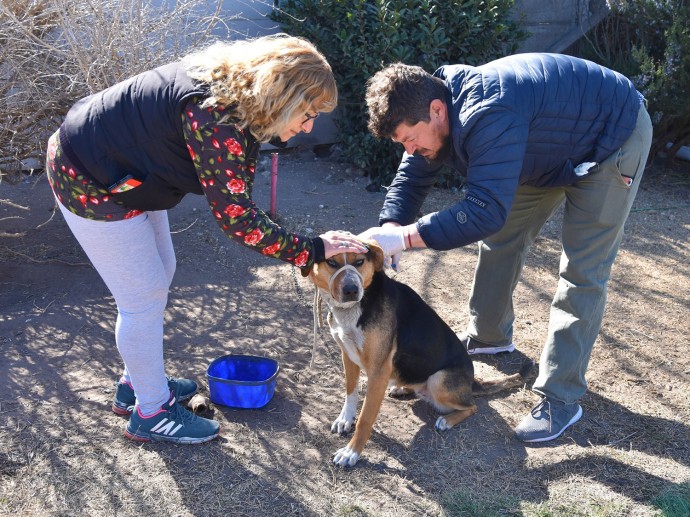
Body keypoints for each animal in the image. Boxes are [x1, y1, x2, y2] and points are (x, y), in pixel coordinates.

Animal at [300, 240, 532, 466]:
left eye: (359, 261)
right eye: (331, 262)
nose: (351, 290)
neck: (356, 308)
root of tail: (471, 382)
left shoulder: (378, 371)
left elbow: (365, 419)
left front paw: (351, 452)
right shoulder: (348, 356)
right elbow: (350, 394)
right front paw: (345, 419)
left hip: (439, 380)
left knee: (472, 406)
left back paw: (447, 420)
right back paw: (402, 388)